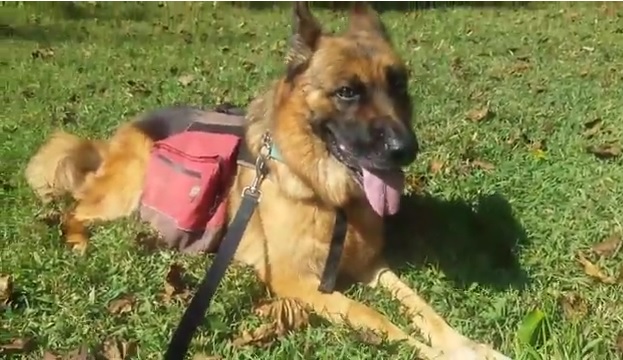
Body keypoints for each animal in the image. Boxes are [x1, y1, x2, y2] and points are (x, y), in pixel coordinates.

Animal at [24, 2, 512, 360]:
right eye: (347, 92)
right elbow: (378, 319)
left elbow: (422, 307)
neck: (328, 197)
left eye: (398, 86)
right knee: (75, 211)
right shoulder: (300, 284)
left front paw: (468, 346)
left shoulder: (372, 266)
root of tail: (118, 135)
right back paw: (78, 240)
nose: (406, 149)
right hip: (124, 195)